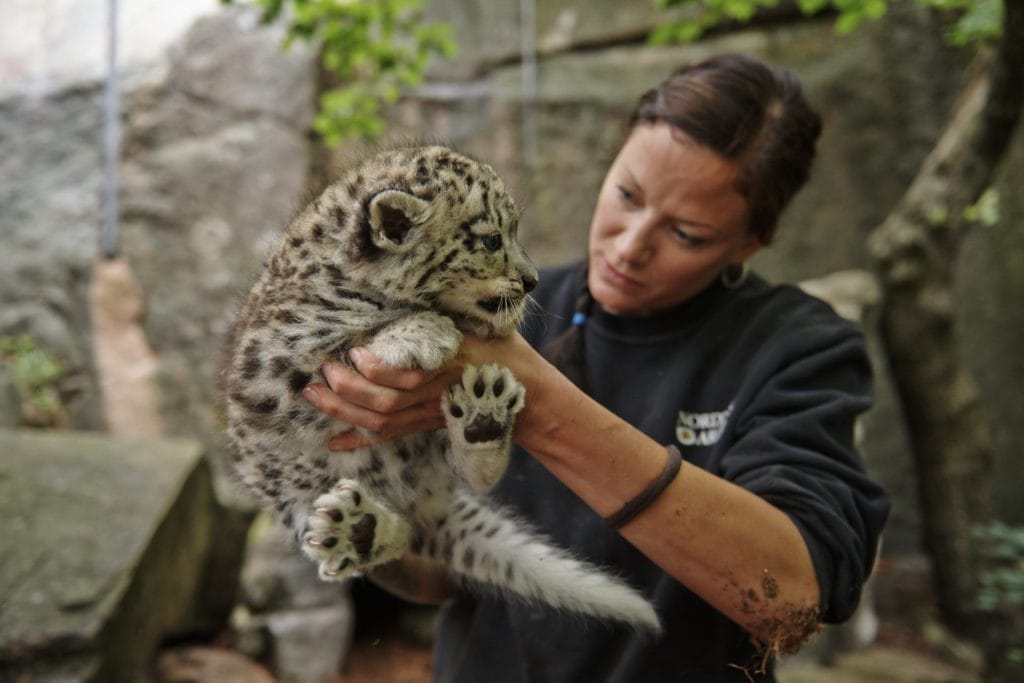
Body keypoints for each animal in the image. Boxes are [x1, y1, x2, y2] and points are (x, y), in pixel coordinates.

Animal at [221, 144, 660, 632]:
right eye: (491, 240)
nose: (533, 280)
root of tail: (423, 498)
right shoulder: (278, 354)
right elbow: (345, 337)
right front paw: (426, 333)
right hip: (292, 493)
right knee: (382, 533)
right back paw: (358, 529)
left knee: (466, 478)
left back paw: (482, 421)